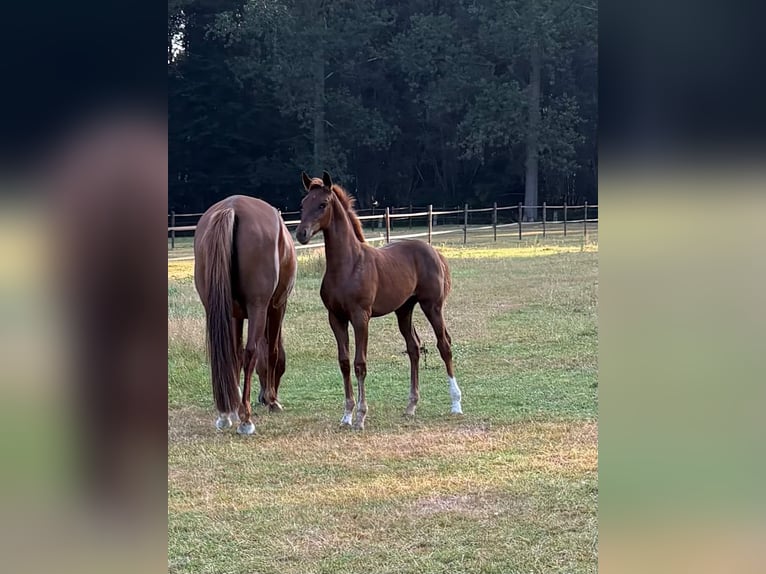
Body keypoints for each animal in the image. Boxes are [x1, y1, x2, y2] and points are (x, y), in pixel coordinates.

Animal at [193, 195, 297, 434]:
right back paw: (246, 419)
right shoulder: (276, 307)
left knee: (229, 353)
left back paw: (225, 414)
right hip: (259, 308)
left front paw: (233, 406)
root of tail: (231, 208)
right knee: (251, 352)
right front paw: (272, 401)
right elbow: (271, 352)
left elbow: (235, 354)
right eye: (282, 371)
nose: (262, 398)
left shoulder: (235, 314)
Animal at [295, 171, 462, 430]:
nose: (301, 234)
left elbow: (360, 363)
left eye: (322, 204)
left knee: (444, 344)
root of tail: (434, 251)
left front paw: (361, 416)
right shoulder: (336, 317)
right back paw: (411, 406)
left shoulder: (360, 317)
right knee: (414, 348)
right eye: (303, 203)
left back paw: (456, 404)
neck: (348, 265)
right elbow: (344, 362)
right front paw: (346, 414)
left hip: (432, 306)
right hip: (404, 310)